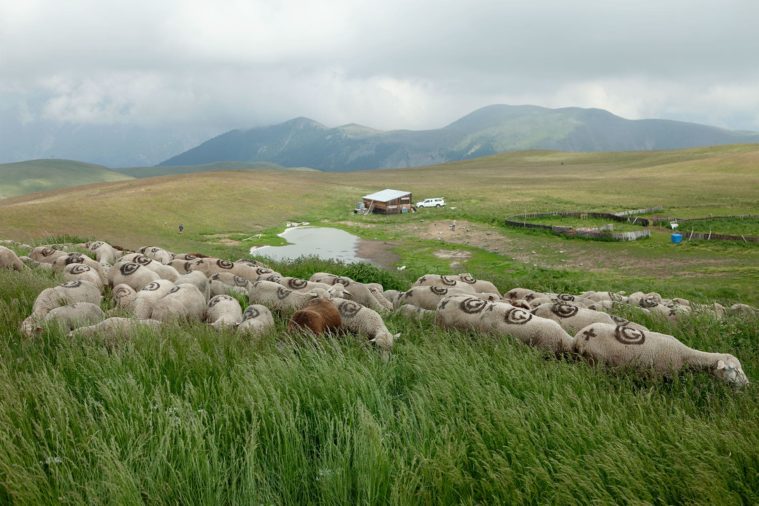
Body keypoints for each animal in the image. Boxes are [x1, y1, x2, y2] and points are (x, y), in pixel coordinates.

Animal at [576, 324, 748, 388]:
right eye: (733, 369)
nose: (747, 384)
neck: (685, 355)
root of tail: (579, 336)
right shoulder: (658, 376)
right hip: (594, 362)